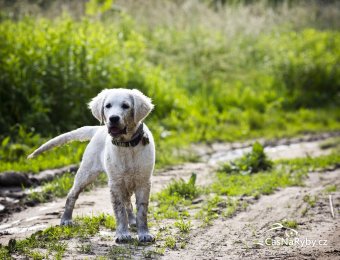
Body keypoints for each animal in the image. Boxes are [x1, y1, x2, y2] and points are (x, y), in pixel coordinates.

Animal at [28, 88, 155, 243]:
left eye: (126, 106)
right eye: (108, 106)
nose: (113, 119)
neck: (127, 145)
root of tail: (98, 130)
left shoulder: (143, 182)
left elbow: (142, 211)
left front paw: (144, 233)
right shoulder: (115, 183)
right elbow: (119, 211)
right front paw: (122, 234)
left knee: (128, 202)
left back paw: (132, 221)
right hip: (86, 173)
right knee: (72, 195)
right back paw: (66, 219)